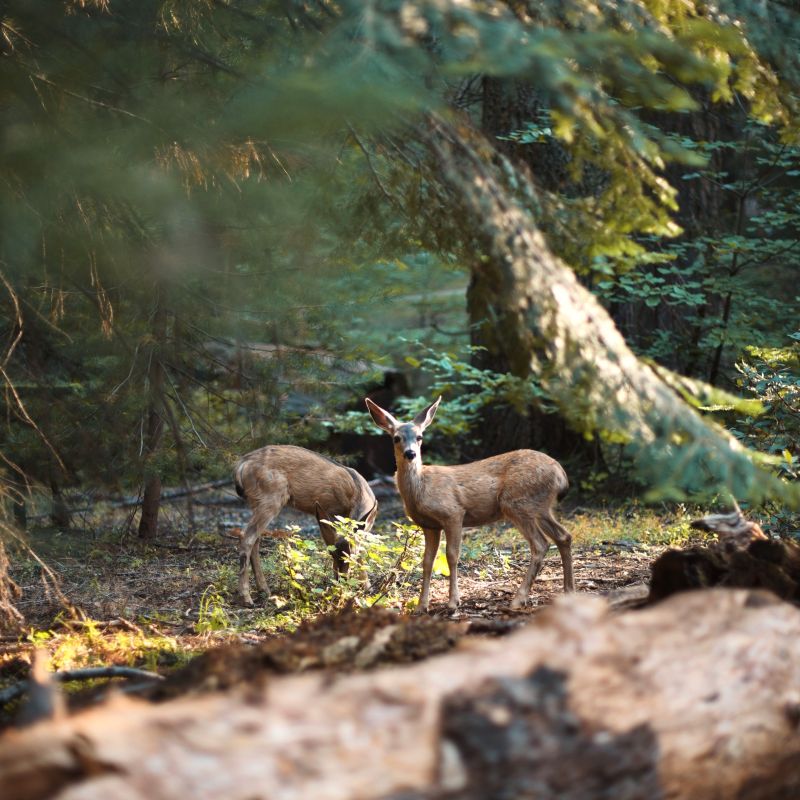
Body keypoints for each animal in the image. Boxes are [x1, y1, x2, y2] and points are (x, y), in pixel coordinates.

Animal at [234, 445, 378, 606]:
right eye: (333, 554)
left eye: (349, 557)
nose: (341, 582)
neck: (360, 495)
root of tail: (242, 464)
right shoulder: (329, 512)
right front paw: (365, 587)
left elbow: (362, 550)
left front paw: (367, 586)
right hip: (271, 498)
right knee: (246, 537)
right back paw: (246, 597)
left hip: (257, 501)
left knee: (255, 539)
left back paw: (264, 590)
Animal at [365, 396, 573, 613]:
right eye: (396, 438)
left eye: (420, 437)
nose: (410, 453)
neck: (420, 489)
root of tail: (561, 475)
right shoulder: (429, 526)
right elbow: (427, 561)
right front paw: (421, 606)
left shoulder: (453, 513)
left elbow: (452, 555)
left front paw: (453, 602)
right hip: (540, 506)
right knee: (563, 536)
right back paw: (568, 591)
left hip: (517, 502)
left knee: (540, 544)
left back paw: (518, 599)